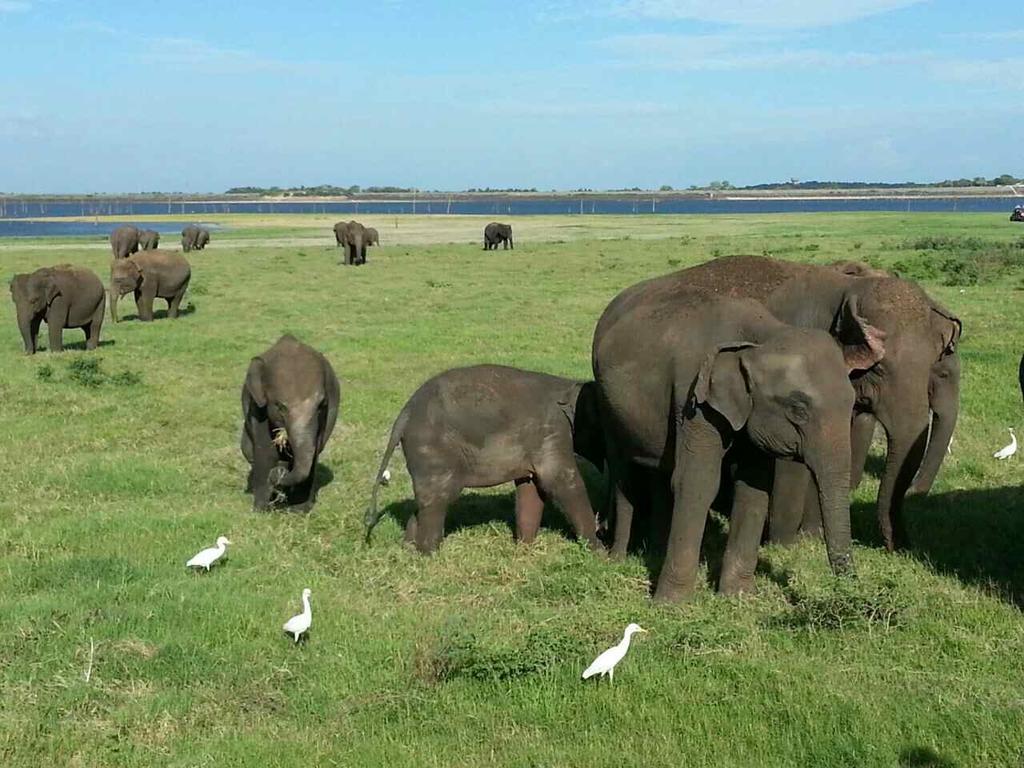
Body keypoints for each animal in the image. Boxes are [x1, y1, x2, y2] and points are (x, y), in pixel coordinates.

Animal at [239, 335, 339, 512]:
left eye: (321, 405)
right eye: (280, 406)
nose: (277, 474)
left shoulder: (324, 418)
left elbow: (314, 453)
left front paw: (298, 510)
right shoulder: (257, 408)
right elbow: (265, 450)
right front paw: (261, 509)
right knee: (248, 450)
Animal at [366, 364, 606, 552]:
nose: (602, 529)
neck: (570, 386)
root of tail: (403, 416)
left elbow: (530, 486)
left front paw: (524, 548)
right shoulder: (552, 430)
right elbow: (562, 481)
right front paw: (599, 553)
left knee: (425, 501)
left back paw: (409, 550)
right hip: (433, 449)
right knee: (438, 499)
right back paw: (429, 554)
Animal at [593, 282, 880, 602]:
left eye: (852, 401)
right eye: (798, 409)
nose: (851, 590)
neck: (763, 336)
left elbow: (753, 487)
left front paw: (737, 596)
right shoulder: (693, 396)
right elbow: (697, 482)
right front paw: (670, 604)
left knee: (660, 473)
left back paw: (654, 552)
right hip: (607, 402)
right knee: (622, 471)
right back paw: (617, 556)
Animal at [667, 257, 962, 552]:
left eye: (933, 366)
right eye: (879, 369)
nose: (899, 549)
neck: (847, 289)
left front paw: (810, 535)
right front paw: (783, 544)